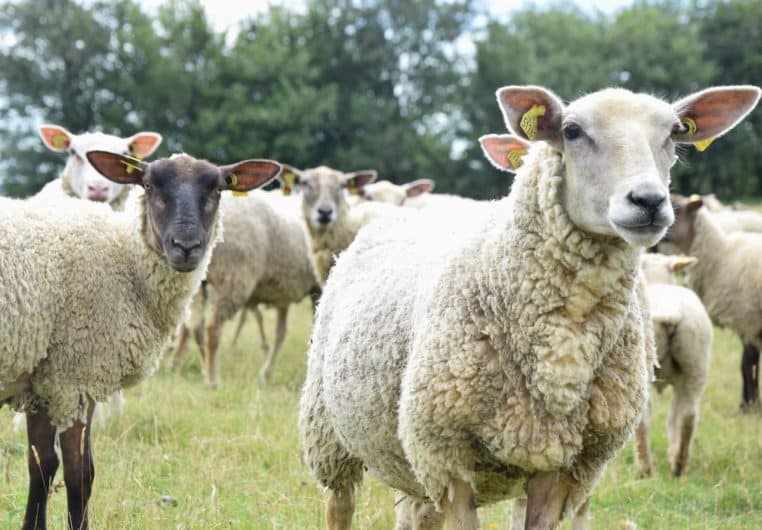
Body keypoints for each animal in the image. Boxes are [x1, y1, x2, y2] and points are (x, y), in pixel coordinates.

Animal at [0, 150, 281, 530]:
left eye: (218, 189)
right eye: (147, 185)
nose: (186, 247)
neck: (125, 261)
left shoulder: (44, 377)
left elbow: (41, 465)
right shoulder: (76, 374)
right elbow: (78, 473)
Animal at [171, 190, 320, 386]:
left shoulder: (284, 293)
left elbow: (280, 333)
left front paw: (267, 373)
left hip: (198, 279)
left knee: (194, 325)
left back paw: (202, 368)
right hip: (235, 276)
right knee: (212, 328)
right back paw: (212, 378)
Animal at [634, 254, 713, 478]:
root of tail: (671, 315)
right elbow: (674, 416)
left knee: (643, 418)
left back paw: (644, 468)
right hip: (696, 364)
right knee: (688, 415)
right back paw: (678, 463)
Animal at [663, 193, 762, 411]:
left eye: (675, 208)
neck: (720, 256)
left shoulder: (748, 319)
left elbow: (747, 362)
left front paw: (747, 405)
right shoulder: (748, 324)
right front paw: (751, 403)